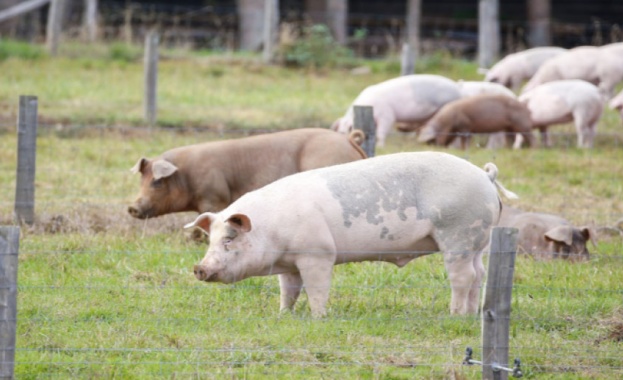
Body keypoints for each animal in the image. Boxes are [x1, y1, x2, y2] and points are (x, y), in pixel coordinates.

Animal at [129, 127, 368, 218]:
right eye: (141, 181)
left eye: (157, 182)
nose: (132, 207)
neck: (186, 175)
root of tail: (349, 140)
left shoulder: (214, 197)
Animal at [185, 151, 516, 318]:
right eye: (211, 240)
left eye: (229, 239)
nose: (199, 268)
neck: (272, 228)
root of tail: (485, 175)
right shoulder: (290, 263)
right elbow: (289, 290)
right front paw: (283, 315)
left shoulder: (317, 253)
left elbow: (317, 289)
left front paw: (318, 318)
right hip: (477, 239)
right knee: (479, 273)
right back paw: (471, 314)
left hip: (458, 233)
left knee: (463, 276)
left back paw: (455, 315)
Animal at [332, 74, 464, 147]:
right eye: (339, 131)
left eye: (345, 131)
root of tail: (457, 87)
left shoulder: (387, 115)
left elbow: (381, 132)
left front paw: (381, 147)